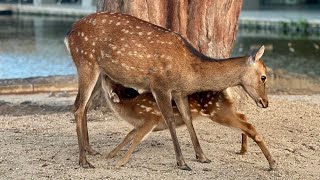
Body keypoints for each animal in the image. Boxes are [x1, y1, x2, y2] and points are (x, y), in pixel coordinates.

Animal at [102, 76, 276, 169]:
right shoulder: (139, 125)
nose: (104, 75)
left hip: (218, 111)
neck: (130, 108)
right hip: (225, 109)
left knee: (249, 126)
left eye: (111, 82)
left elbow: (136, 138)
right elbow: (127, 136)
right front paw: (109, 154)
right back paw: (243, 150)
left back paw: (272, 163)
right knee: (245, 118)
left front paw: (121, 162)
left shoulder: (150, 119)